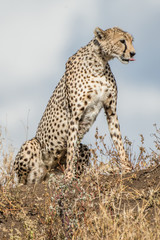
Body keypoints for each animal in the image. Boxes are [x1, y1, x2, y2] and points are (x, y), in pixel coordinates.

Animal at [14, 26, 136, 184]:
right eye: (122, 41)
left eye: (131, 40)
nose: (133, 53)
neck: (100, 62)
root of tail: (45, 176)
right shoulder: (75, 116)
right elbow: (71, 149)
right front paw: (69, 177)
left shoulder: (111, 111)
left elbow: (118, 141)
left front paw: (127, 169)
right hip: (32, 145)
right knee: (23, 181)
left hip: (84, 149)